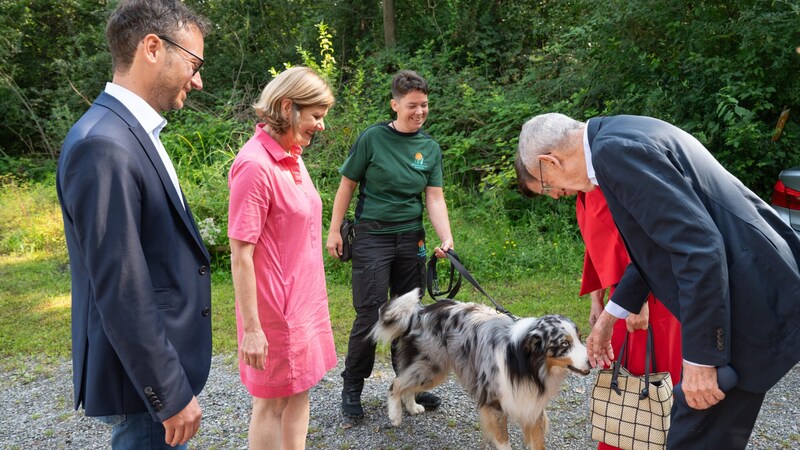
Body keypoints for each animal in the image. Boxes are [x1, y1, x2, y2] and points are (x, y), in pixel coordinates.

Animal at [372, 288, 592, 450]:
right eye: (564, 344)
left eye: (580, 337)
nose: (592, 361)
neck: (525, 365)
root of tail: (421, 311)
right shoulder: (495, 403)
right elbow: (503, 441)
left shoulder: (533, 405)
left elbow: (537, 442)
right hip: (432, 368)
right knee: (396, 383)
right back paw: (395, 415)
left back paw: (411, 406)